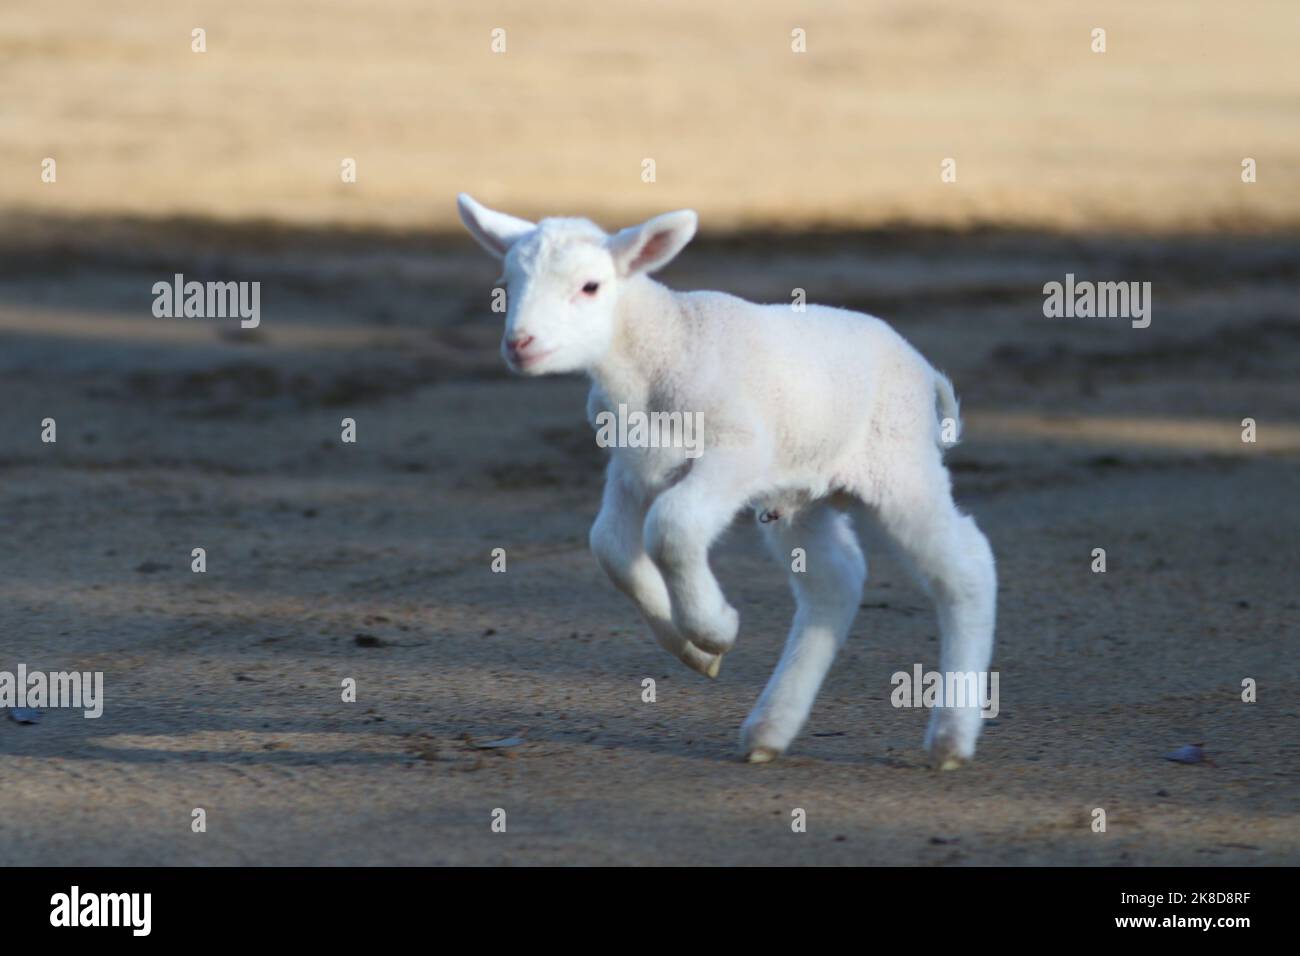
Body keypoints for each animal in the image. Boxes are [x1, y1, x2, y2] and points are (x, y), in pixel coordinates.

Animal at [454, 195, 993, 770]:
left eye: (590, 286)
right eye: (508, 284)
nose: (520, 345)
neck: (661, 350)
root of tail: (923, 369)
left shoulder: (738, 449)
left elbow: (671, 527)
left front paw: (714, 627)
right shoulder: (633, 467)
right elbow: (611, 548)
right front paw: (694, 650)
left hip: (899, 463)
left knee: (967, 566)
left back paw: (952, 737)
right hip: (803, 494)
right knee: (836, 580)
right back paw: (769, 729)